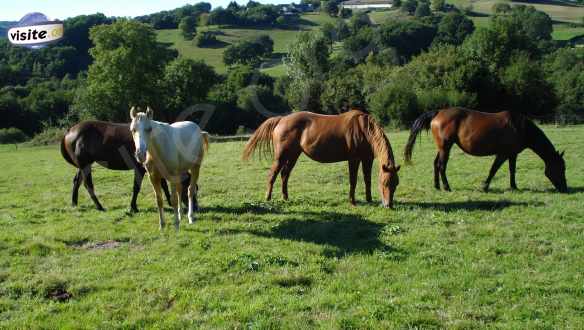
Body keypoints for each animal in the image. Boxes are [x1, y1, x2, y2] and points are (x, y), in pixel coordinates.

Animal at [242, 111, 402, 209]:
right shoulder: (354, 159)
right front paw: (352, 201)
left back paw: (285, 197)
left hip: (293, 155)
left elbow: (367, 179)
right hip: (281, 156)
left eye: (396, 184)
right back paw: (268, 198)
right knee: (273, 174)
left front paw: (369, 200)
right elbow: (353, 180)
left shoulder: (367, 159)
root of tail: (281, 119)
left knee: (284, 175)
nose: (389, 205)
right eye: (384, 183)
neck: (363, 129)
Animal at [404, 107, 568, 192]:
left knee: (436, 164)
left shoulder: (512, 154)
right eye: (560, 168)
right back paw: (447, 187)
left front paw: (514, 186)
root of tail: (438, 113)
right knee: (441, 166)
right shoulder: (502, 154)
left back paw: (437, 186)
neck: (520, 128)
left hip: (443, 147)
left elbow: (512, 170)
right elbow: (493, 169)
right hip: (446, 147)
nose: (564, 188)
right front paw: (485, 186)